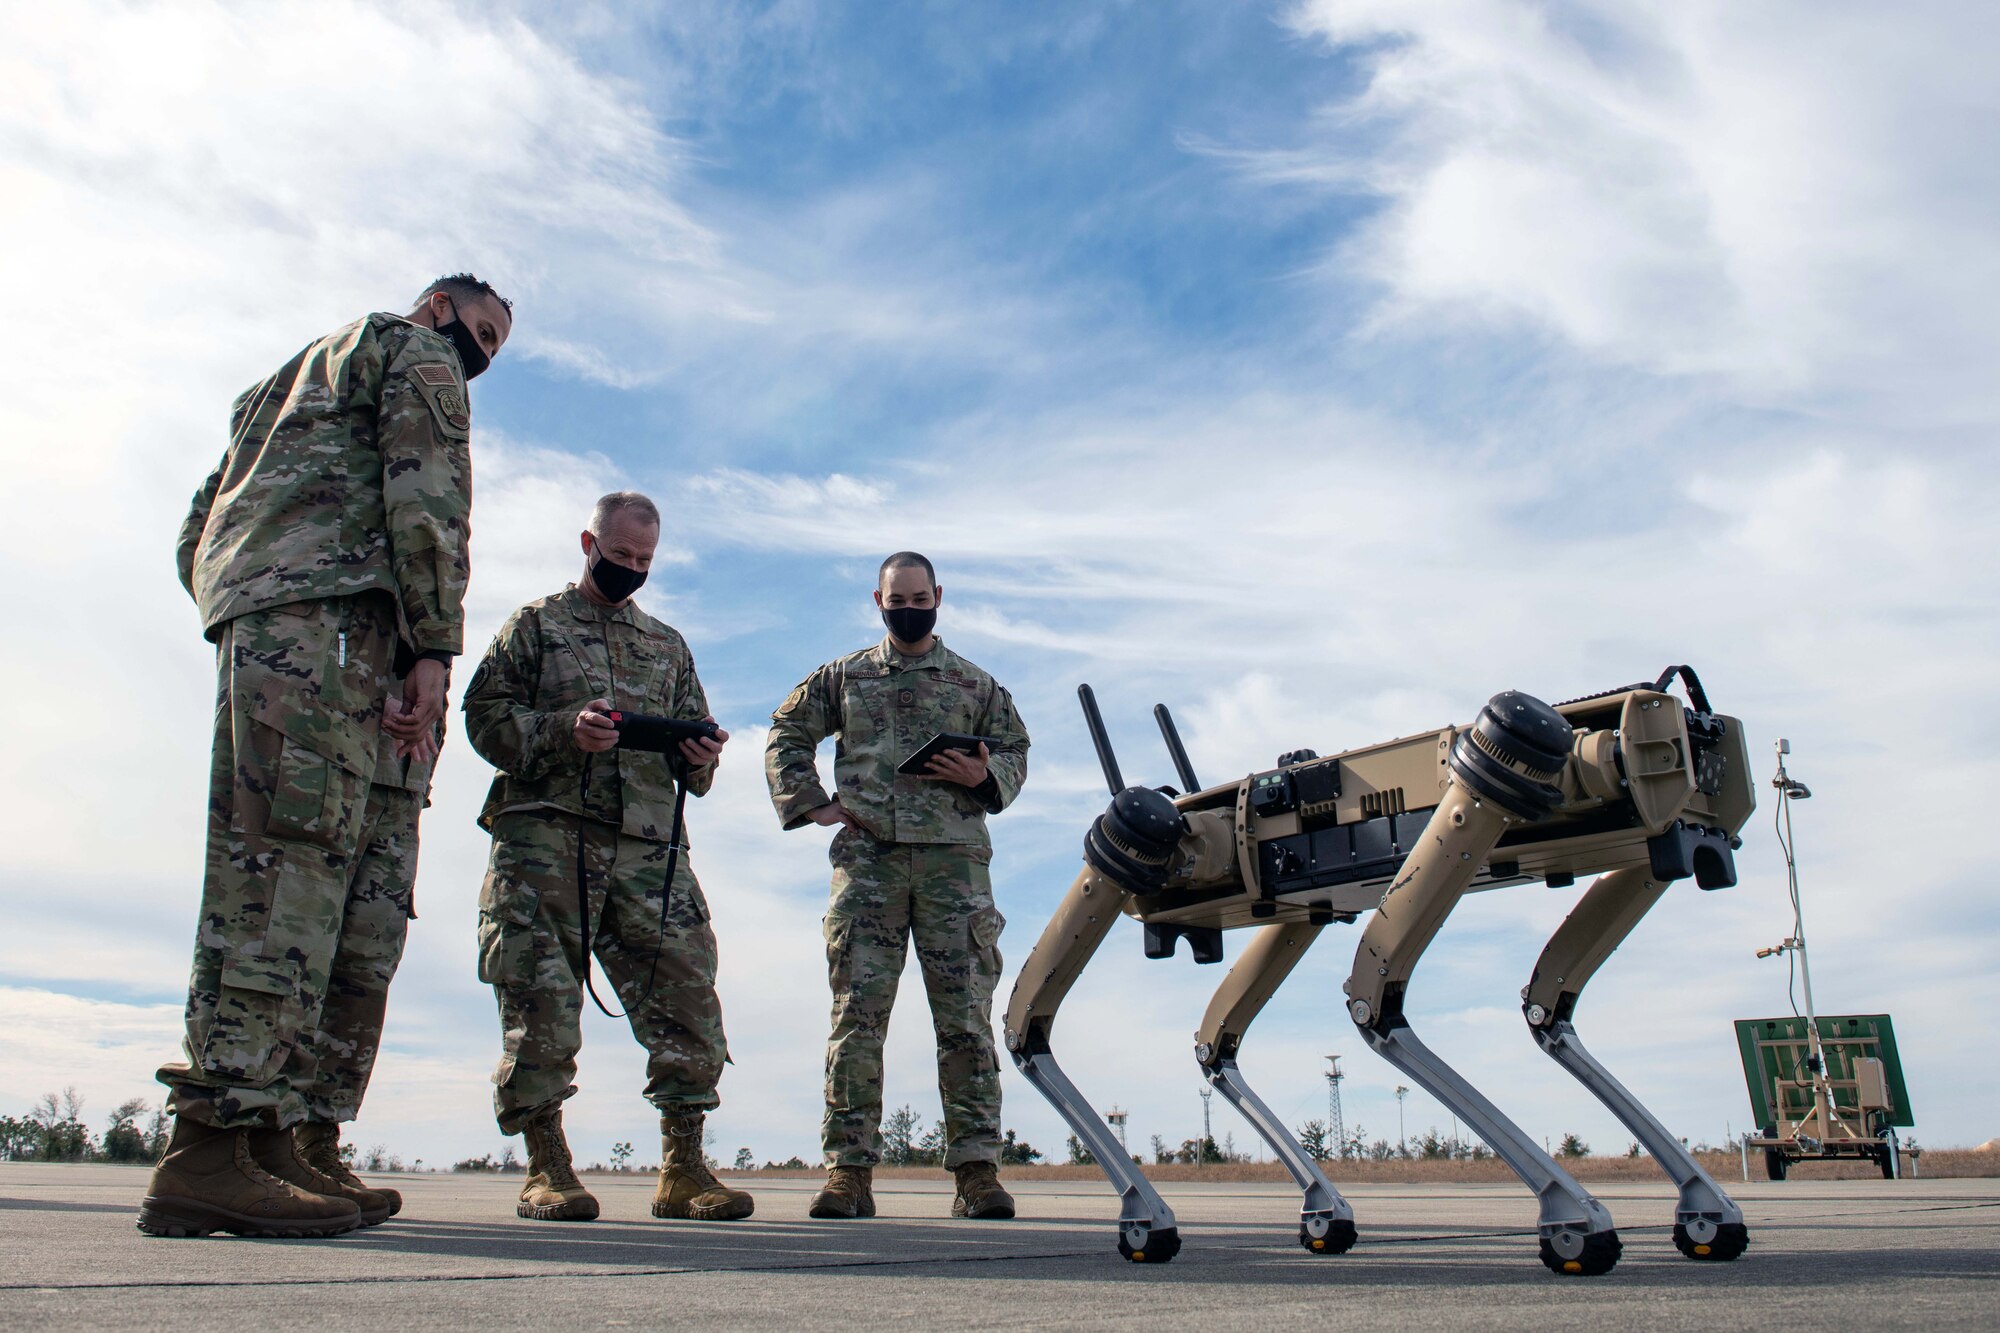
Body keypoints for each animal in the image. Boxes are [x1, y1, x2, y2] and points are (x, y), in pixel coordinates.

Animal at [1000, 668, 1752, 1272]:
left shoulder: (1310, 905)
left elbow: (1536, 1003)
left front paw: (1702, 1210)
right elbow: (1374, 1003)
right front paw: (1570, 1215)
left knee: (1206, 1044)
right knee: (1025, 1028)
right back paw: (1144, 1214)